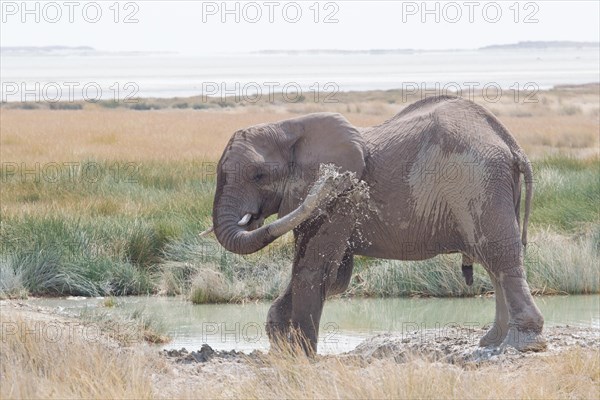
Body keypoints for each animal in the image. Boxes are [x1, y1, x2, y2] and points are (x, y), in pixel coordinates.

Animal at [209, 95, 548, 354]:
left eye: (258, 176)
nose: (330, 180)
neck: (288, 127)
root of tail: (509, 142)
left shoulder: (339, 201)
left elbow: (314, 270)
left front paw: (303, 358)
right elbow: (330, 277)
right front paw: (281, 346)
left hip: (475, 181)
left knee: (500, 256)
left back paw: (521, 344)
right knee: (493, 262)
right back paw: (492, 342)